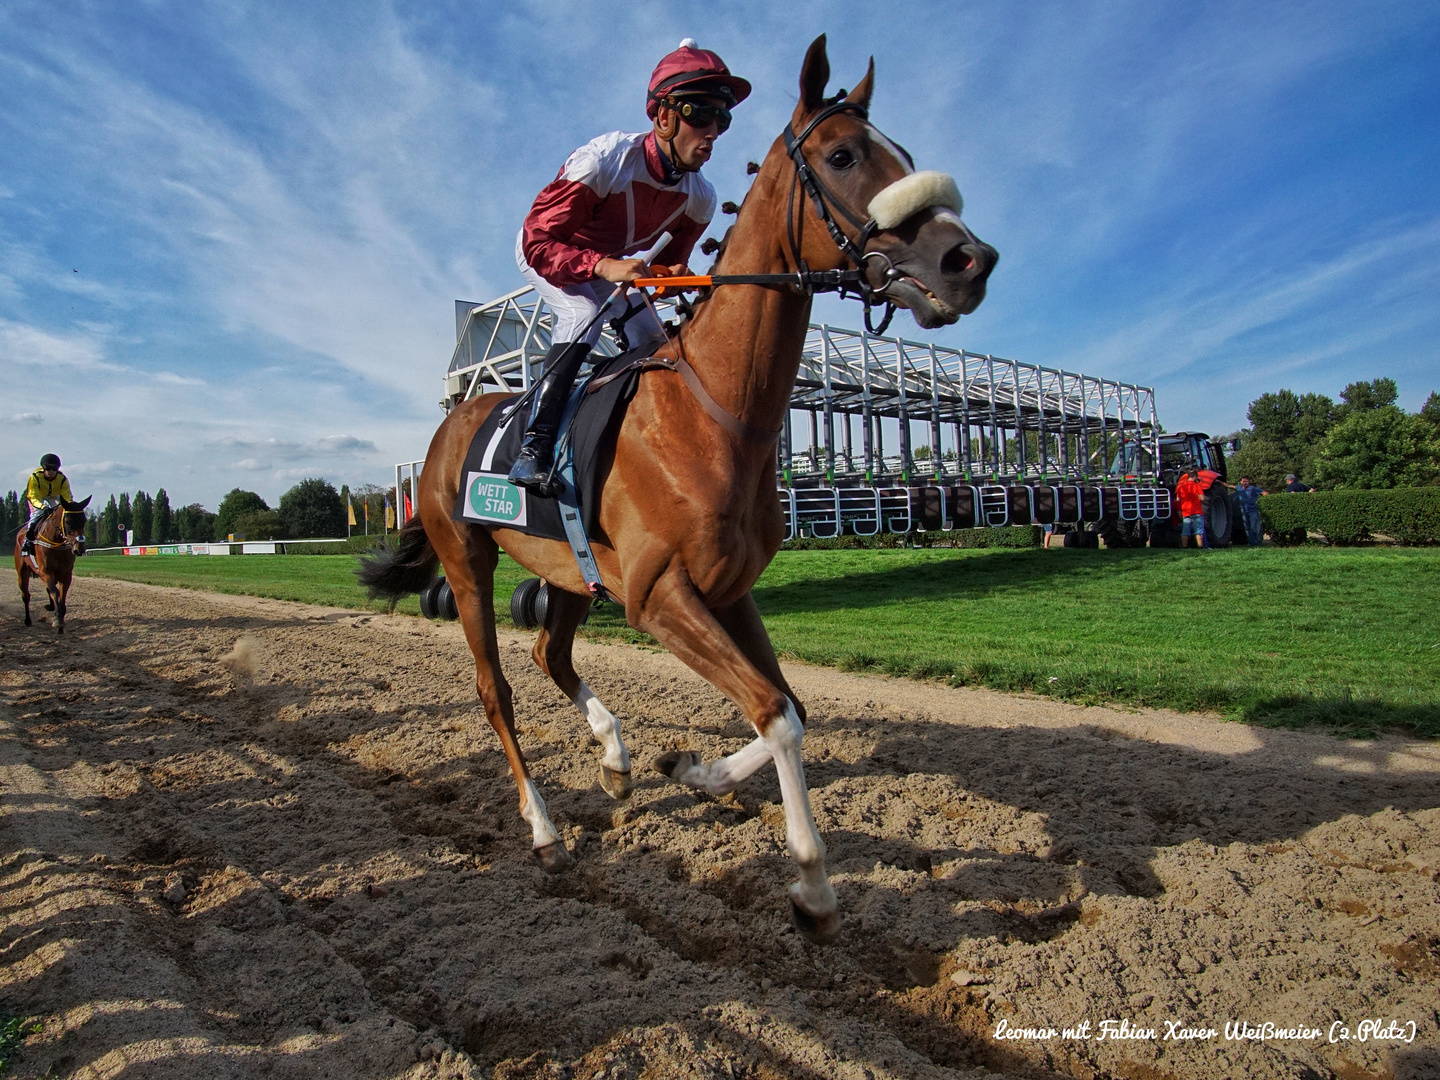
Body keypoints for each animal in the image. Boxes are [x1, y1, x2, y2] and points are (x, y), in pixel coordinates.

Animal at [14, 498, 92, 633]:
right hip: (22, 572)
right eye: (67, 521)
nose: (79, 549)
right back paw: (28, 620)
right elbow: (55, 592)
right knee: (26, 595)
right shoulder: (46, 571)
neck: (57, 543)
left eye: (84, 520)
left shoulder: (65, 574)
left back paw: (50, 606)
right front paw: (57, 619)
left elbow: (61, 595)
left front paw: (60, 619)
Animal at [362, 38, 990, 944]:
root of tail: (450, 426)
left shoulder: (726, 589)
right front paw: (811, 881)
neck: (714, 415)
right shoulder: (658, 595)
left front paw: (689, 768)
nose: (969, 260)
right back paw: (545, 830)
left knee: (551, 654)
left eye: (903, 154)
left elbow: (787, 705)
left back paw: (616, 758)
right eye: (843, 155)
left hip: (570, 572)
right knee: (496, 691)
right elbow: (776, 712)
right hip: (467, 560)